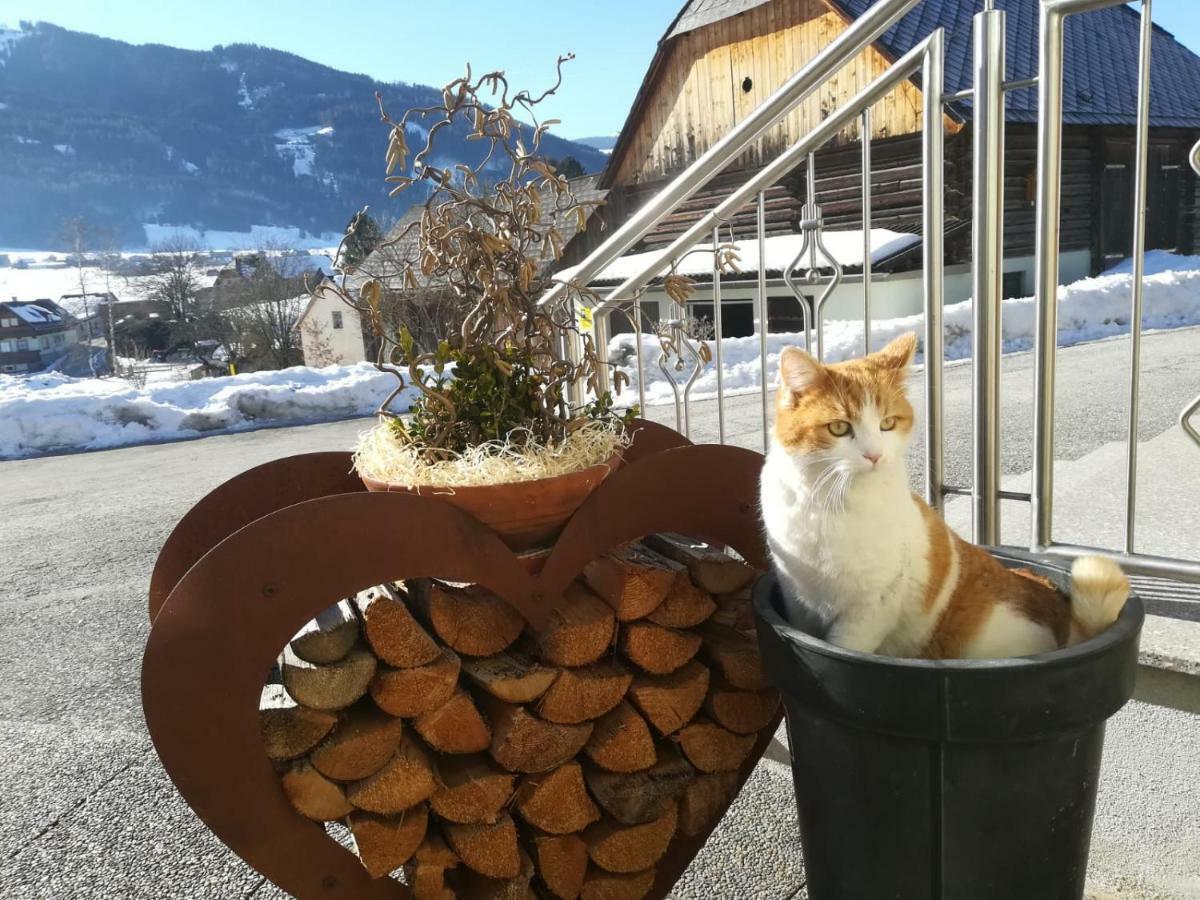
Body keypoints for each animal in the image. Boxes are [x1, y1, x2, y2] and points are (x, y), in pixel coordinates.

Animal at [763, 336, 1128, 657]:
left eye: (887, 423)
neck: (827, 502)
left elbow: (848, 645)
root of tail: (1064, 622)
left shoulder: (870, 609)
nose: (874, 455)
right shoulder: (798, 601)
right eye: (839, 428)